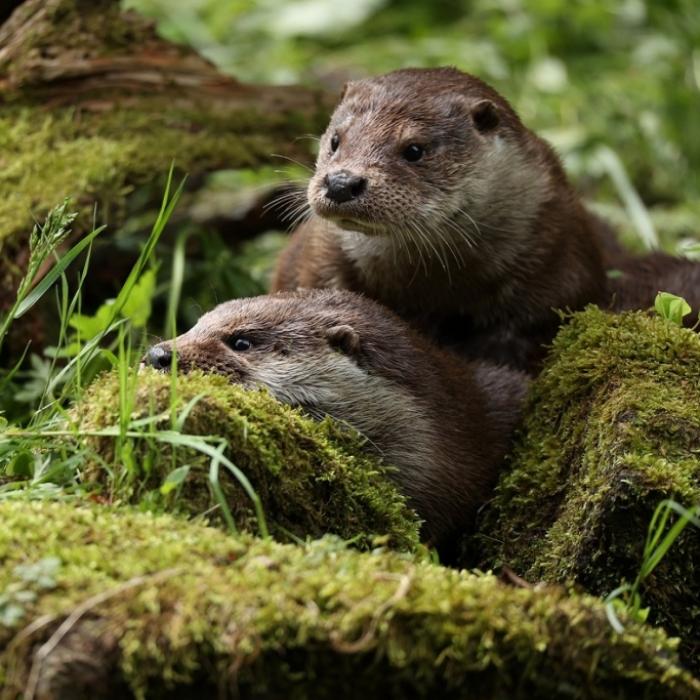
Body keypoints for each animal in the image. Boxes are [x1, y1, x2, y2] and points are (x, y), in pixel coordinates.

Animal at [271, 66, 700, 369]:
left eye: (414, 150)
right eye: (335, 140)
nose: (341, 183)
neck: (431, 286)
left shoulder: (551, 264)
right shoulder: (319, 259)